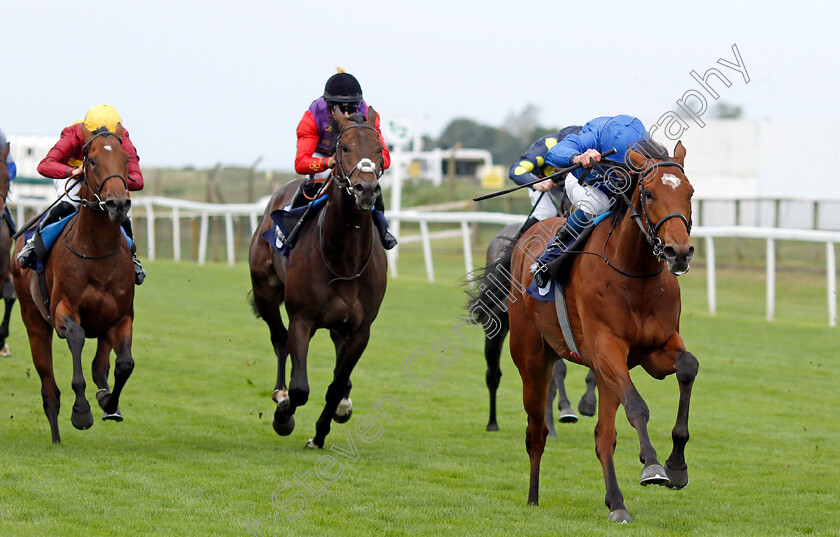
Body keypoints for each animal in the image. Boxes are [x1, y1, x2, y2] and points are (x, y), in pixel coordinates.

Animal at [11, 125, 135, 444]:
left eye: (127, 159)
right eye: (91, 161)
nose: (118, 203)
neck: (96, 251)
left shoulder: (121, 316)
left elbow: (124, 364)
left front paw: (109, 404)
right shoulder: (62, 311)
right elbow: (77, 337)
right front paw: (81, 411)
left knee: (100, 366)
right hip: (33, 321)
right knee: (48, 388)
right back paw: (56, 435)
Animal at [248, 107, 388, 446]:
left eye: (379, 149)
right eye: (344, 147)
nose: (366, 189)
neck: (345, 261)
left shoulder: (361, 330)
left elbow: (336, 385)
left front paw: (321, 433)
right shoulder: (302, 319)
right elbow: (300, 389)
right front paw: (283, 415)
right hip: (265, 291)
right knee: (279, 339)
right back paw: (280, 394)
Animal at [502, 142, 700, 520]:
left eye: (690, 192)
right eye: (648, 193)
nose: (678, 252)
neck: (634, 274)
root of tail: (531, 234)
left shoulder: (656, 349)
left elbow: (688, 367)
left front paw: (678, 466)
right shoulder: (607, 349)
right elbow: (637, 406)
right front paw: (653, 466)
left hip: (603, 372)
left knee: (603, 435)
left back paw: (616, 503)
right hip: (532, 361)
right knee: (536, 432)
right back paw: (533, 497)